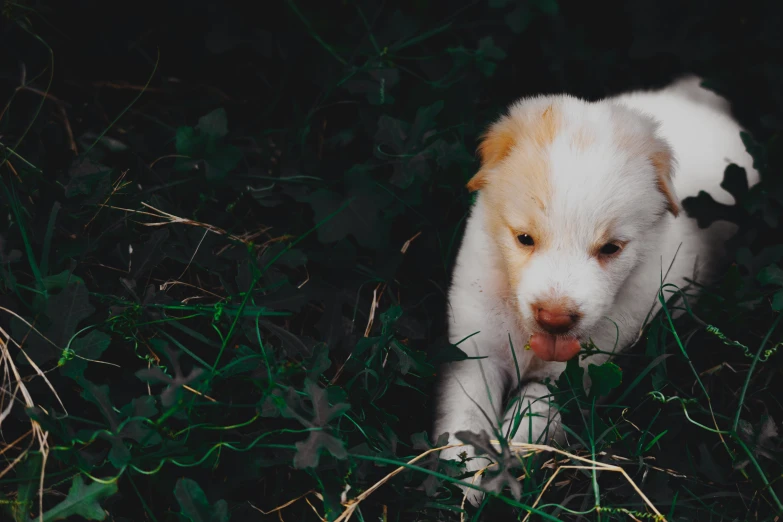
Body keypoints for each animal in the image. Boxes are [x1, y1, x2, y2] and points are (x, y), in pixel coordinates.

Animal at [434, 75, 760, 502]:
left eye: (610, 249)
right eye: (524, 238)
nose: (554, 319)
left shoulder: (576, 376)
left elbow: (533, 410)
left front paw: (503, 465)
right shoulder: (475, 350)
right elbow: (467, 412)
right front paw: (467, 471)